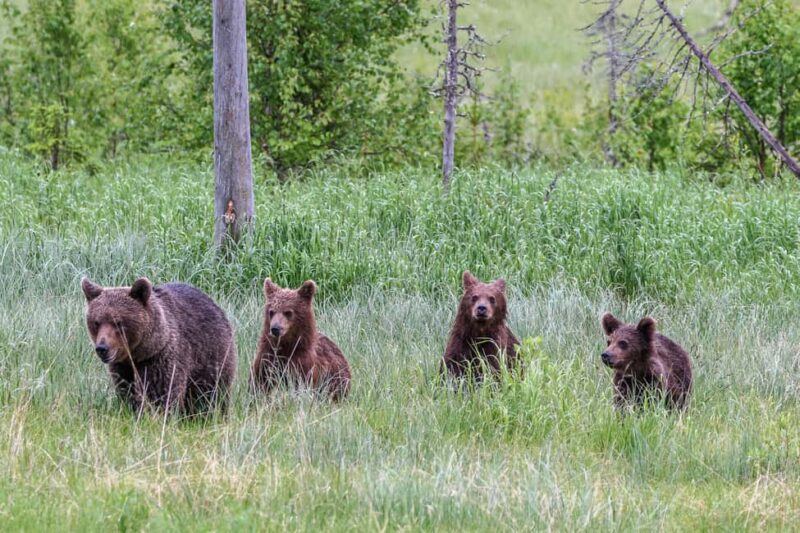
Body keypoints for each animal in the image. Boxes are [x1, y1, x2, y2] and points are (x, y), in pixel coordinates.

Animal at [81, 277, 237, 414]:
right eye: (96, 322)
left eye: (118, 322)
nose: (102, 348)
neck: (137, 354)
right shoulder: (122, 367)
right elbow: (126, 389)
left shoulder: (159, 357)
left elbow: (162, 392)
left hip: (211, 356)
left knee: (210, 393)